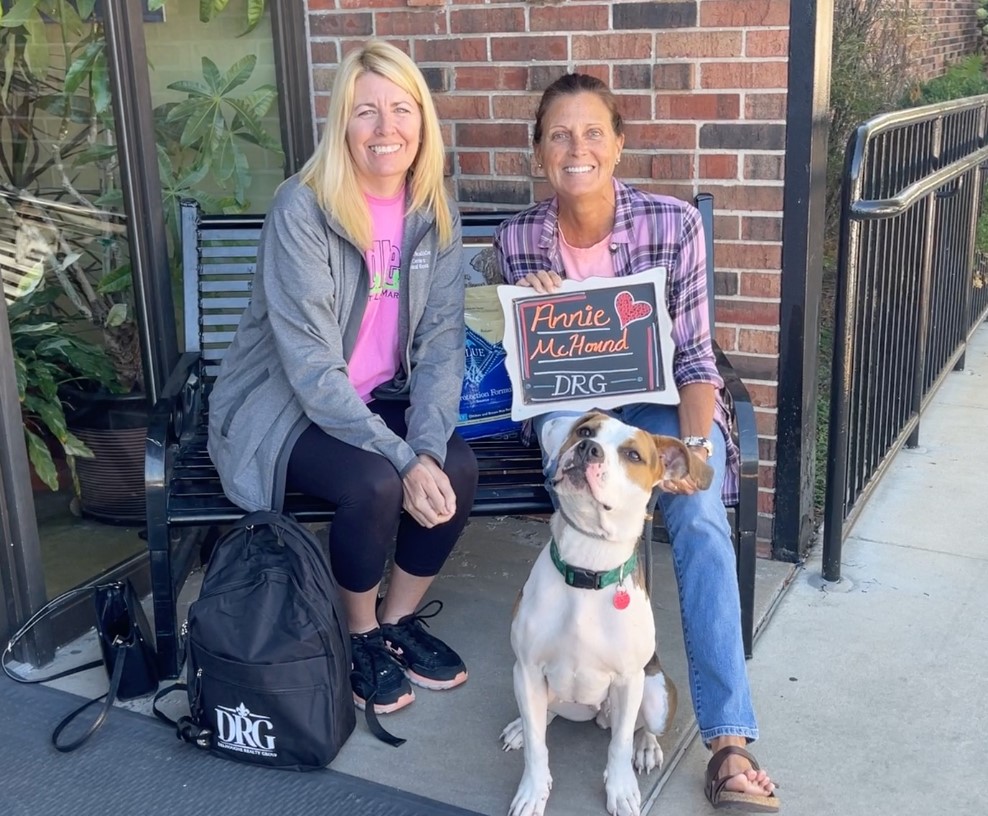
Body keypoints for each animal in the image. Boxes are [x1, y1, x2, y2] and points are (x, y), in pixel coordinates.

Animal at [502, 412, 712, 816]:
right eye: (585, 432)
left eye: (633, 454)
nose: (588, 449)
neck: (587, 563)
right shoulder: (528, 668)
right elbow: (537, 746)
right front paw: (532, 791)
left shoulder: (629, 679)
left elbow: (619, 745)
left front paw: (621, 789)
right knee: (544, 715)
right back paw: (522, 724)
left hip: (655, 692)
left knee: (640, 727)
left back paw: (646, 747)